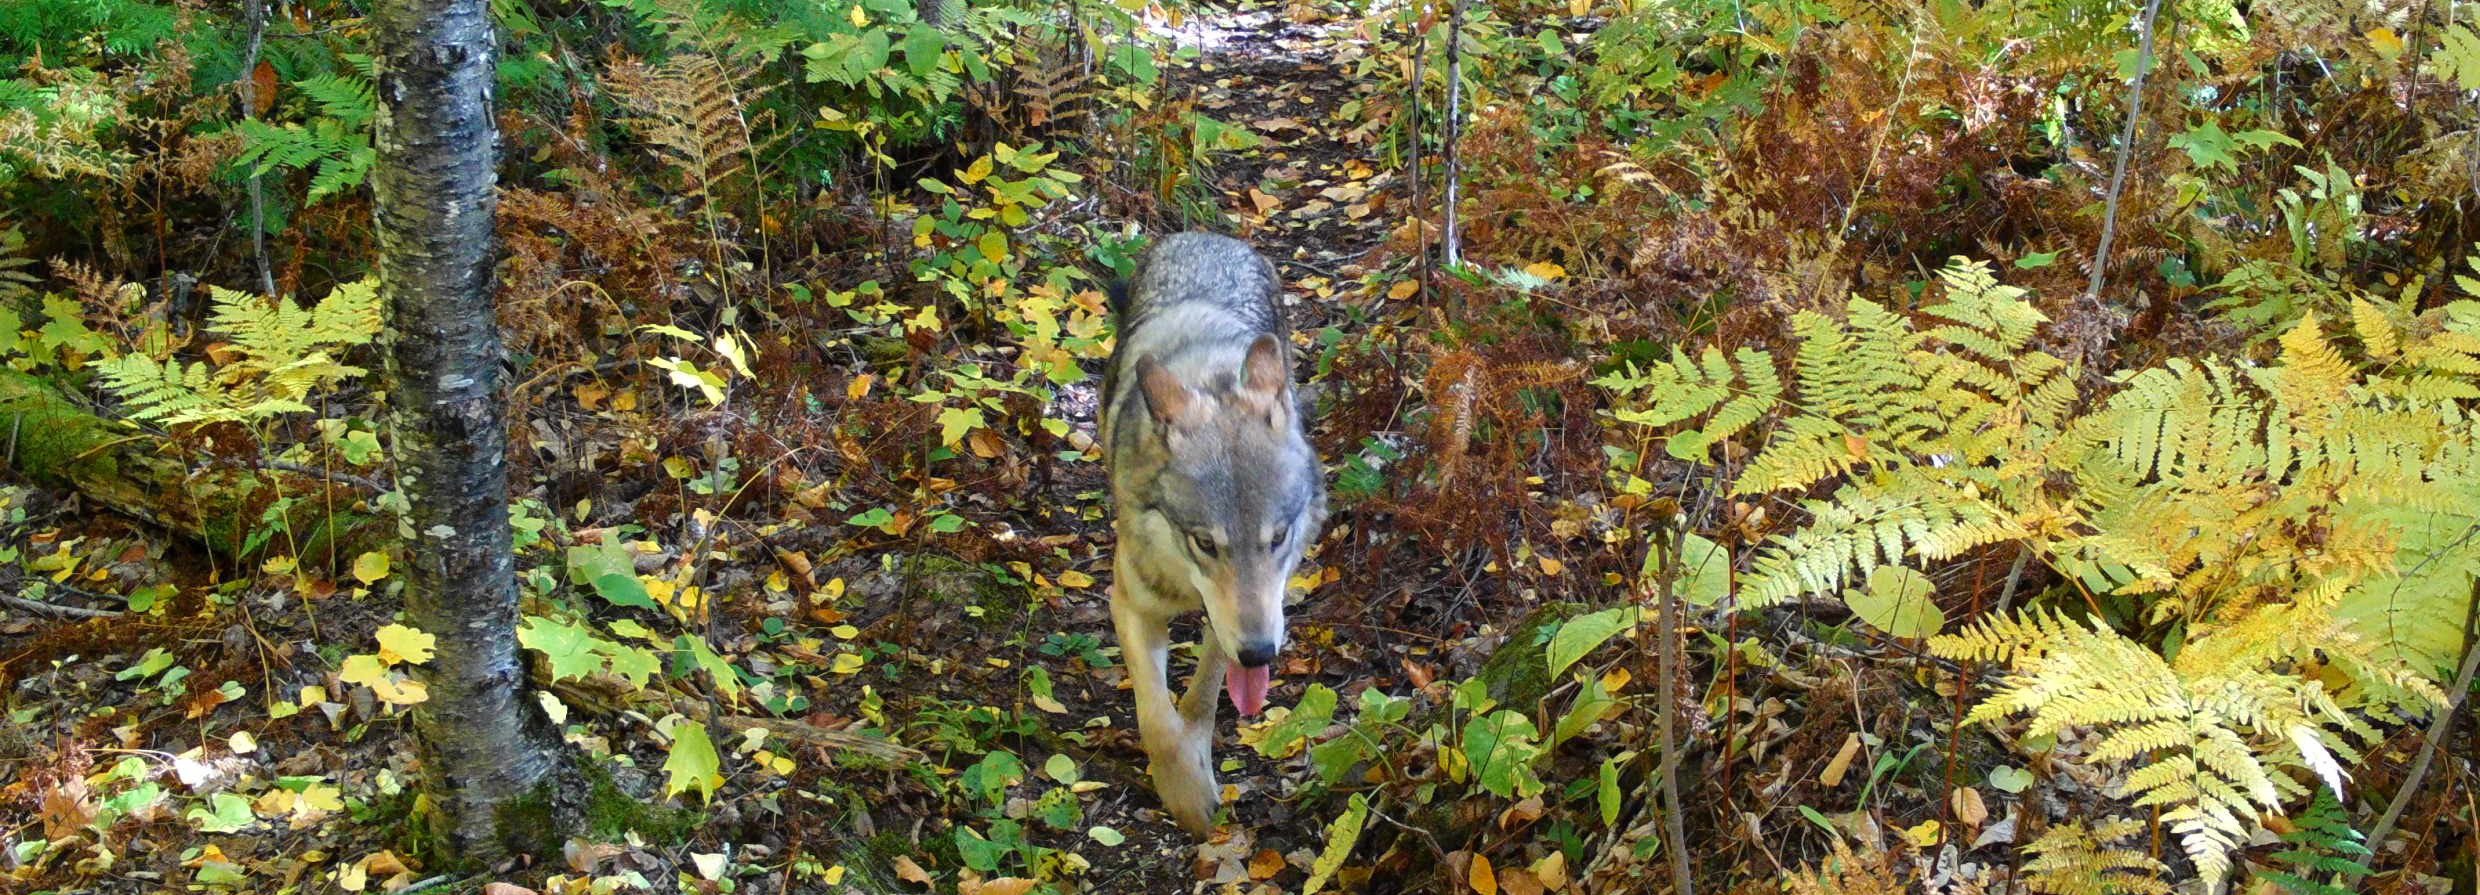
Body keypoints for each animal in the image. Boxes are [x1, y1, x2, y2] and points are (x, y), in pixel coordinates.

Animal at [1102, 232, 1328, 834]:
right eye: (1205, 543)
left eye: (1277, 538)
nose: (1260, 653)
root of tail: (1205, 234)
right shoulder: (1129, 604)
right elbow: (1157, 721)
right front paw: (1186, 797)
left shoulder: (1242, 622)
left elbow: (1201, 698)